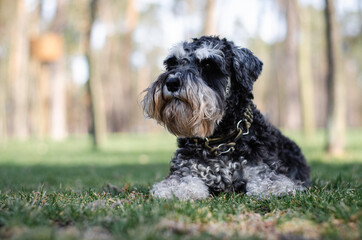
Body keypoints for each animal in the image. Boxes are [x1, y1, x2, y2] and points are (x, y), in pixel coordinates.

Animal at [140, 36, 310, 201]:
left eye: (208, 64)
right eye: (172, 63)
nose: (171, 82)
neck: (220, 138)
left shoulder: (264, 167)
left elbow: (269, 181)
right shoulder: (186, 170)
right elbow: (180, 183)